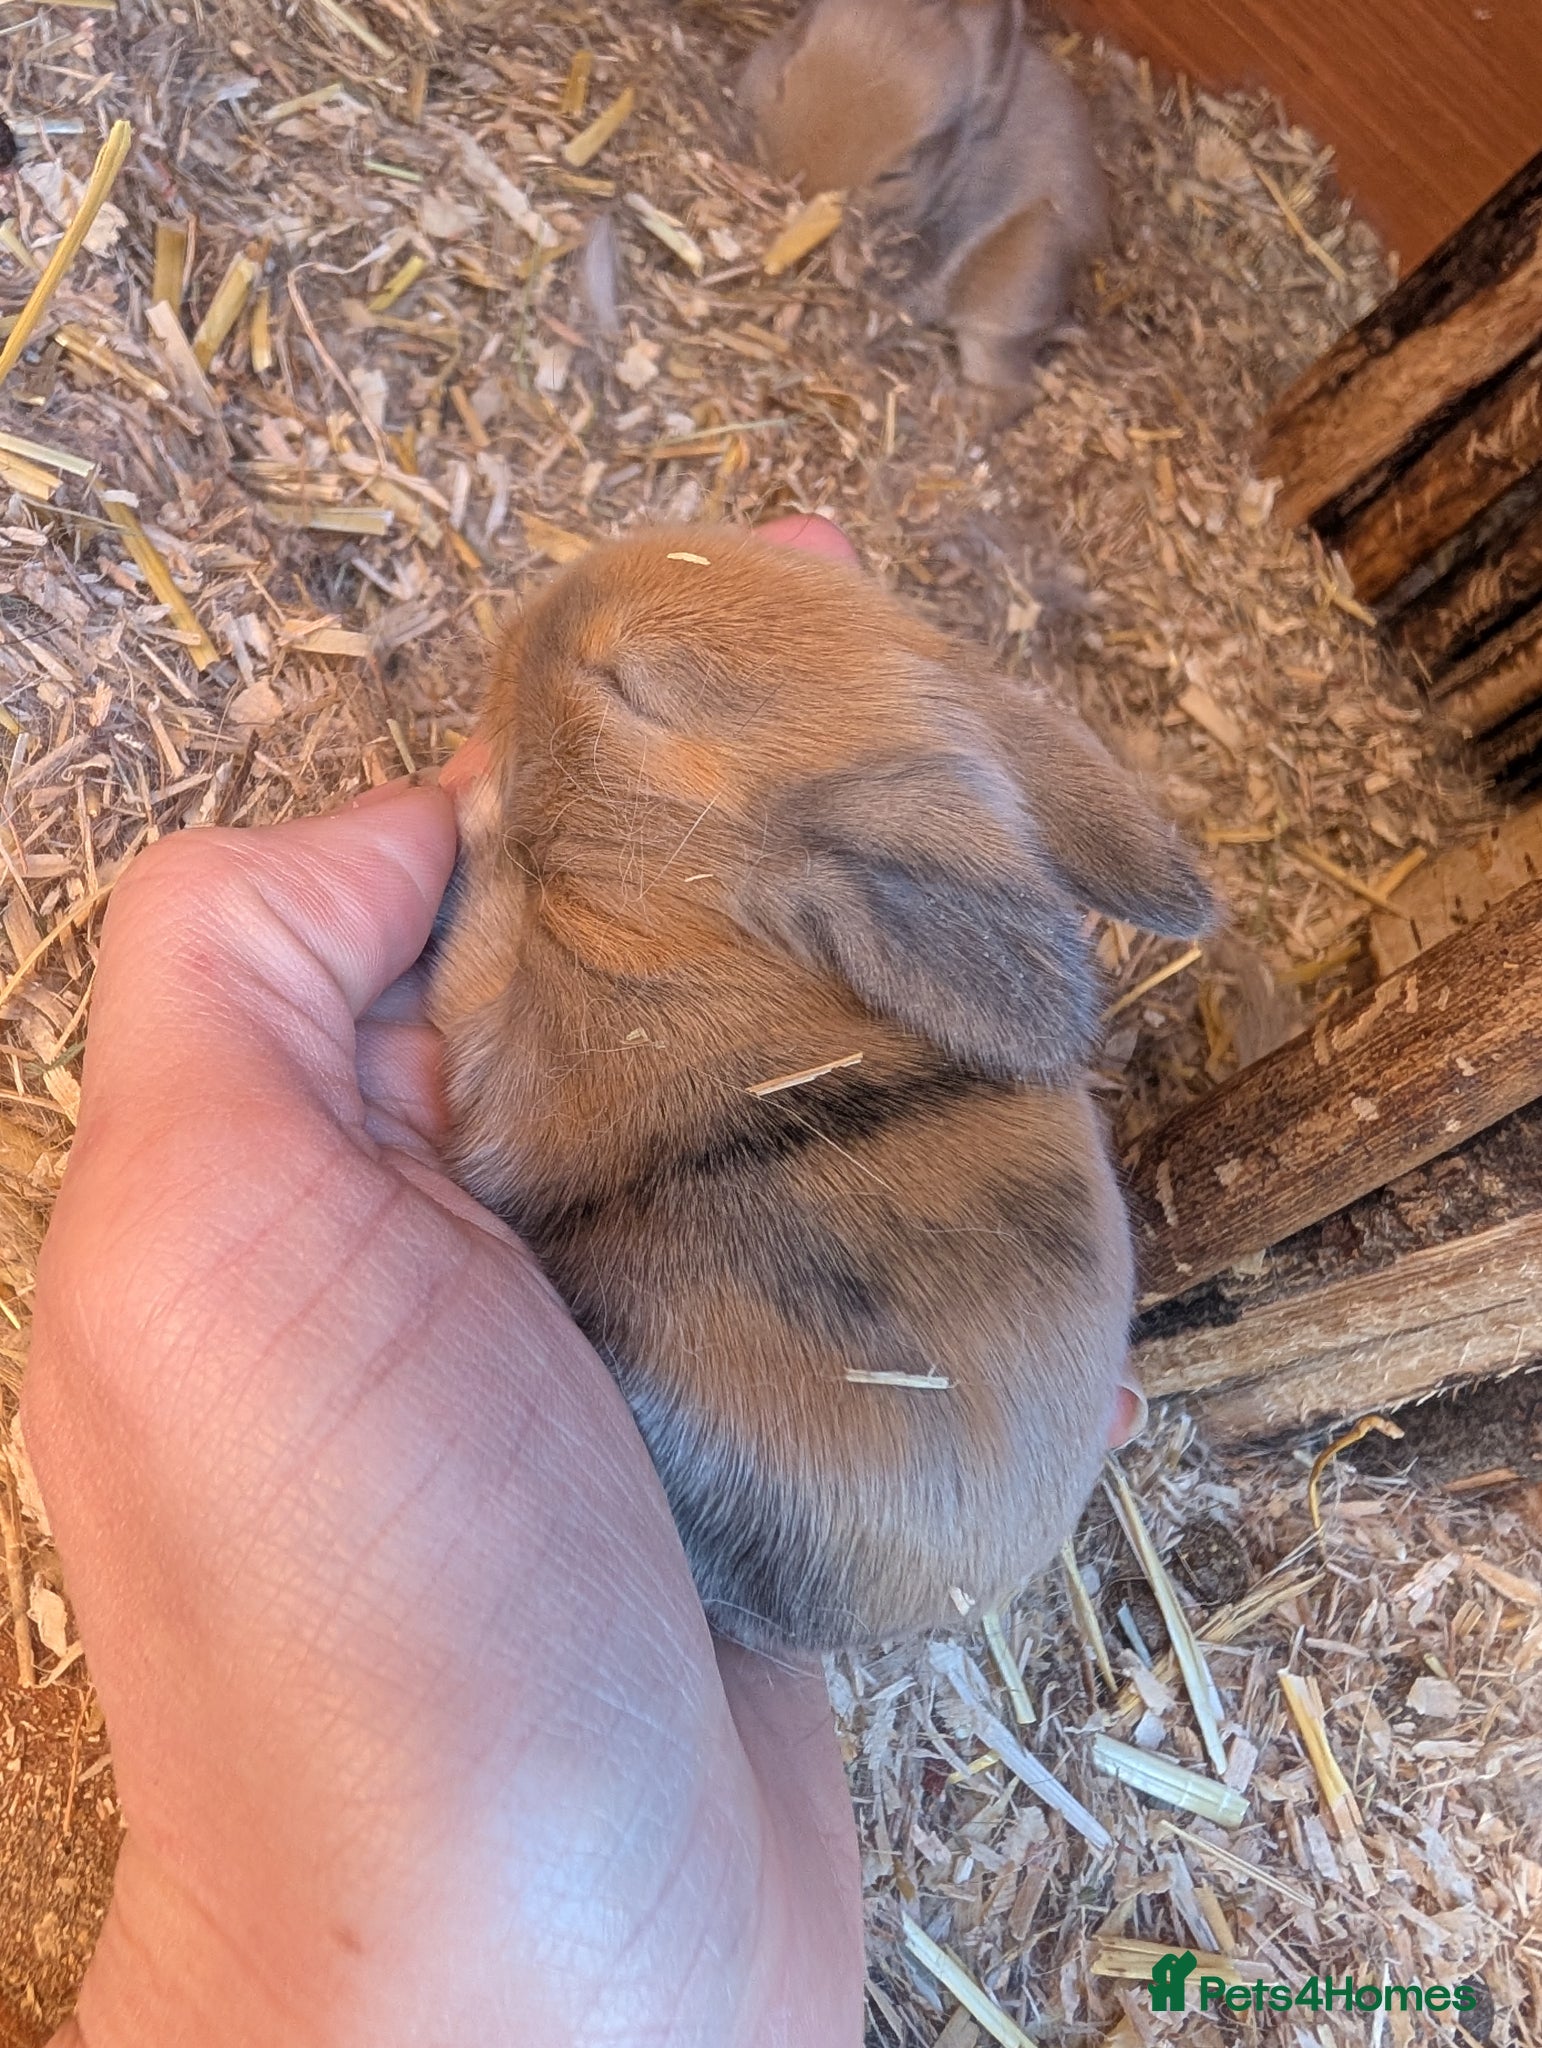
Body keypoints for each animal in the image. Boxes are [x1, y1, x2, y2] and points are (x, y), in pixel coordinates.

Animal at [737, 0, 1107, 409]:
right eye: (784, 76)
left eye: (897, 173)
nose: (791, 177)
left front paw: (848, 263)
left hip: (1011, 289)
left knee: (1014, 388)